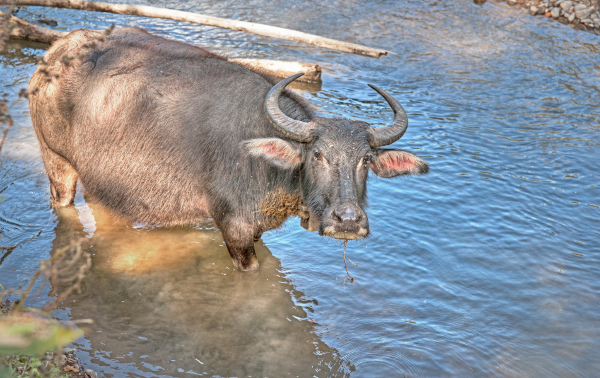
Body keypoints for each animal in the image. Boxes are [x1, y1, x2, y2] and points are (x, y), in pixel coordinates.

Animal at [30, 28, 428, 272]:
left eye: (365, 160)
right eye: (317, 155)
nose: (347, 220)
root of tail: (56, 52)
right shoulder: (234, 229)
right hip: (56, 162)